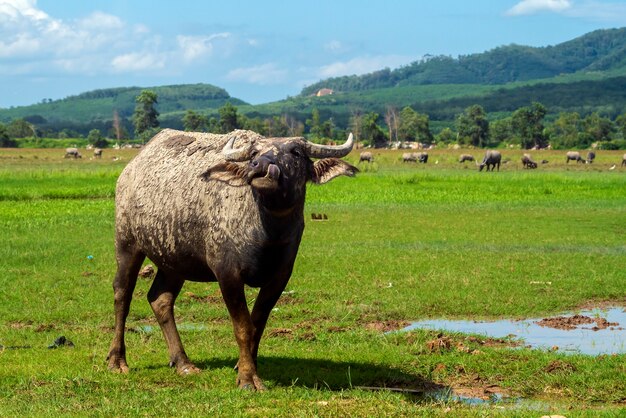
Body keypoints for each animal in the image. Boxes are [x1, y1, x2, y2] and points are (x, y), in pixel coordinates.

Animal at [107, 129, 356, 390]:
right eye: (254, 153)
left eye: (296, 152)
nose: (260, 165)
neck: (268, 233)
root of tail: (130, 170)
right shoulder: (228, 274)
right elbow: (243, 327)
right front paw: (248, 378)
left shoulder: (280, 277)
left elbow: (257, 324)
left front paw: (246, 365)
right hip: (127, 244)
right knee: (122, 294)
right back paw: (117, 361)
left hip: (174, 262)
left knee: (160, 300)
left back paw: (183, 363)